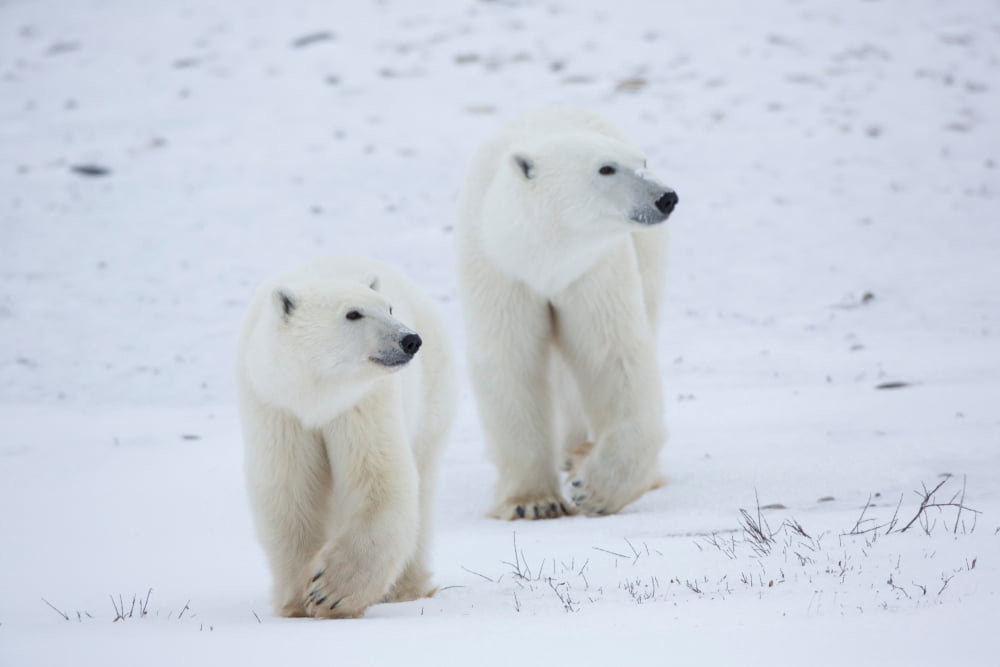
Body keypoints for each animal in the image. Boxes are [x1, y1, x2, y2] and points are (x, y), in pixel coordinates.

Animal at [236, 257, 455, 618]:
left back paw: (407, 588)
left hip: (432, 398)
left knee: (422, 486)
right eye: (353, 314)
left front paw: (329, 593)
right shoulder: (278, 407)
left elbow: (379, 479)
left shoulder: (361, 403)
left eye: (389, 307)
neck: (318, 396)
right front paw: (297, 601)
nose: (409, 340)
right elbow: (290, 491)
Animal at [454, 107, 678, 520]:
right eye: (606, 168)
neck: (544, 256)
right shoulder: (500, 271)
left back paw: (581, 453)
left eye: (642, 162)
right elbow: (511, 361)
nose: (666, 197)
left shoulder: (592, 269)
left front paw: (593, 491)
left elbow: (614, 355)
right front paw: (532, 502)